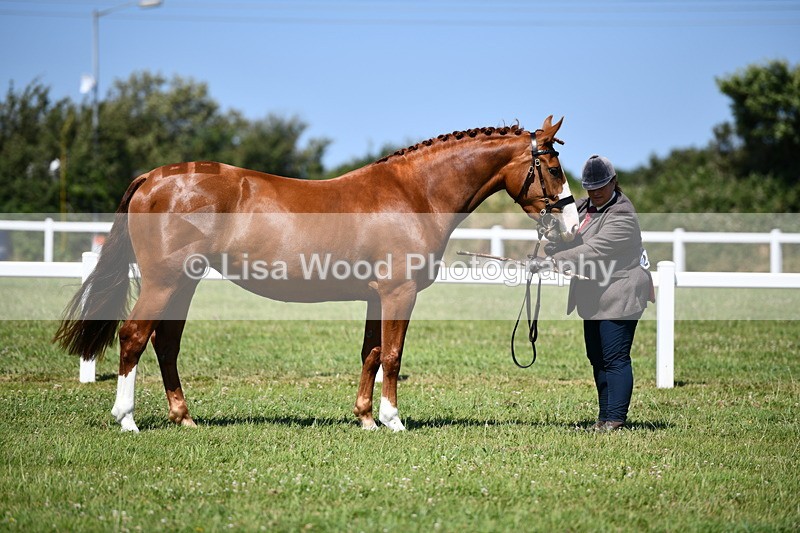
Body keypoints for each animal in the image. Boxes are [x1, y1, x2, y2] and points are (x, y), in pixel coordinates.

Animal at [54, 116, 579, 432]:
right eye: (552, 167)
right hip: (164, 282)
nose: (572, 224)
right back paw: (127, 419)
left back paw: (183, 417)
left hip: (185, 282)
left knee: (165, 344)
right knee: (134, 336)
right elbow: (393, 355)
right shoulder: (399, 293)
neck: (414, 193)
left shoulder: (376, 296)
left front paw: (365, 419)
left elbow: (370, 354)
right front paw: (393, 420)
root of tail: (155, 177)